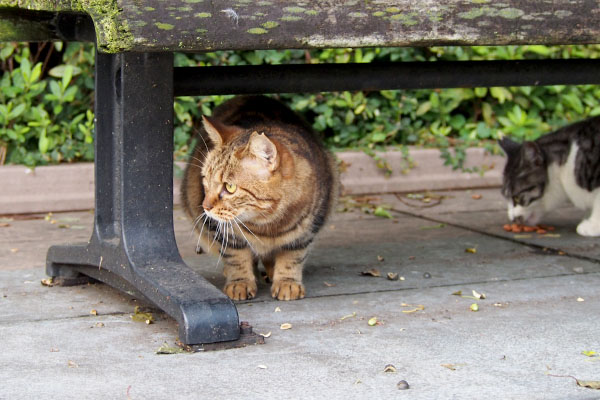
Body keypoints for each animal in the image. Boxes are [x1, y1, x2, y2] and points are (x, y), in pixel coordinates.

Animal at [180, 94, 338, 300]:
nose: (205, 206)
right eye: (205, 179)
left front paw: (287, 281)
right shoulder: (226, 233)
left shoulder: (306, 232)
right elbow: (236, 257)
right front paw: (240, 282)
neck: (268, 224)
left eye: (230, 187)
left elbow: (292, 257)